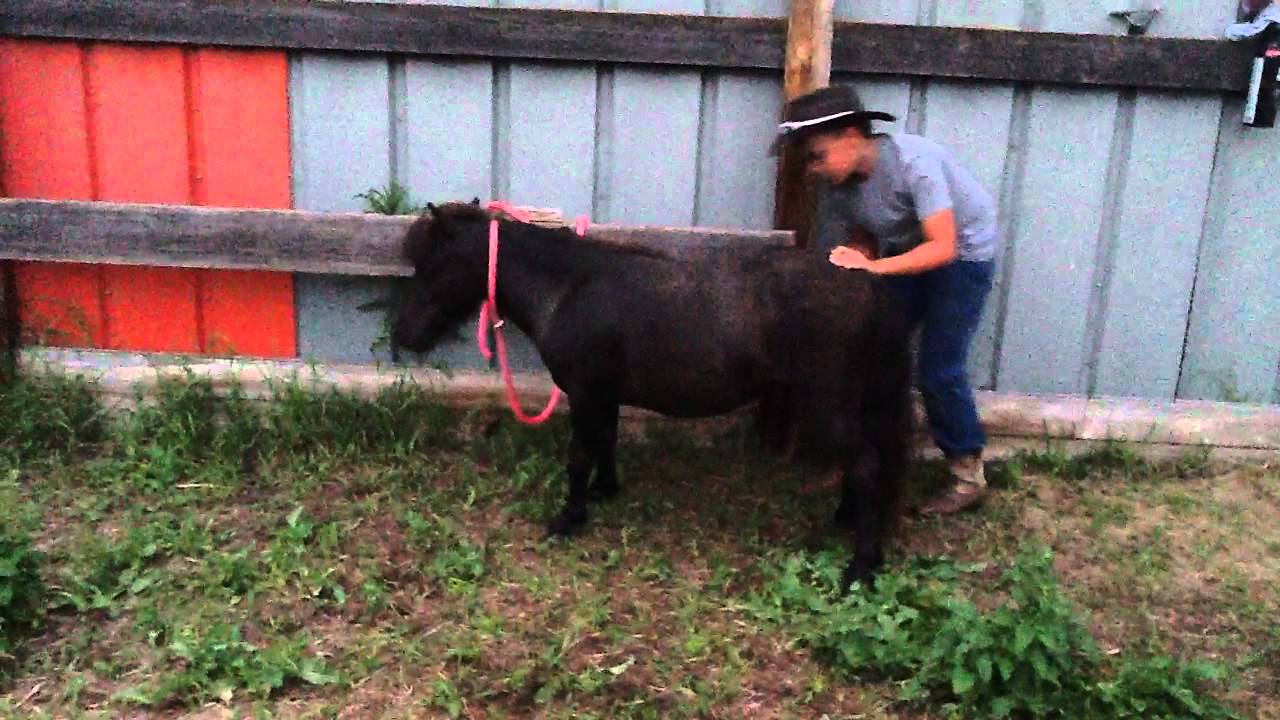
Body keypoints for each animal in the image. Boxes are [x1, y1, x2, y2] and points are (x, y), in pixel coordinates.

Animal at [391, 200, 914, 588]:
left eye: (432, 265)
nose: (404, 334)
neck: (570, 286)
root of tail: (867, 281)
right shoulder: (603, 394)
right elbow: (605, 441)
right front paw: (604, 491)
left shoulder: (585, 393)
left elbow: (580, 454)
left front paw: (568, 518)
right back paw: (848, 522)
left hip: (828, 405)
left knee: (865, 464)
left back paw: (860, 565)